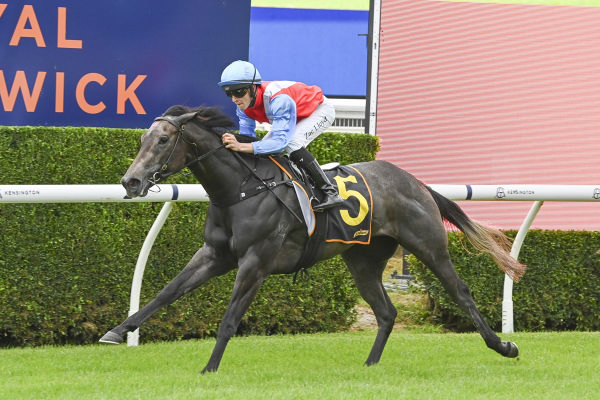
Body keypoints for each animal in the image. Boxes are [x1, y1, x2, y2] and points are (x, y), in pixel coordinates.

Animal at [102, 104, 524, 374]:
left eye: (162, 141)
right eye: (142, 139)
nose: (130, 181)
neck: (240, 189)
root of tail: (416, 182)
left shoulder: (255, 262)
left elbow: (230, 319)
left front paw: (209, 368)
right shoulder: (214, 254)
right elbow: (167, 292)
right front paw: (118, 331)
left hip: (429, 246)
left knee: (461, 291)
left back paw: (503, 345)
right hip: (363, 261)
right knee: (386, 312)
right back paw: (369, 367)